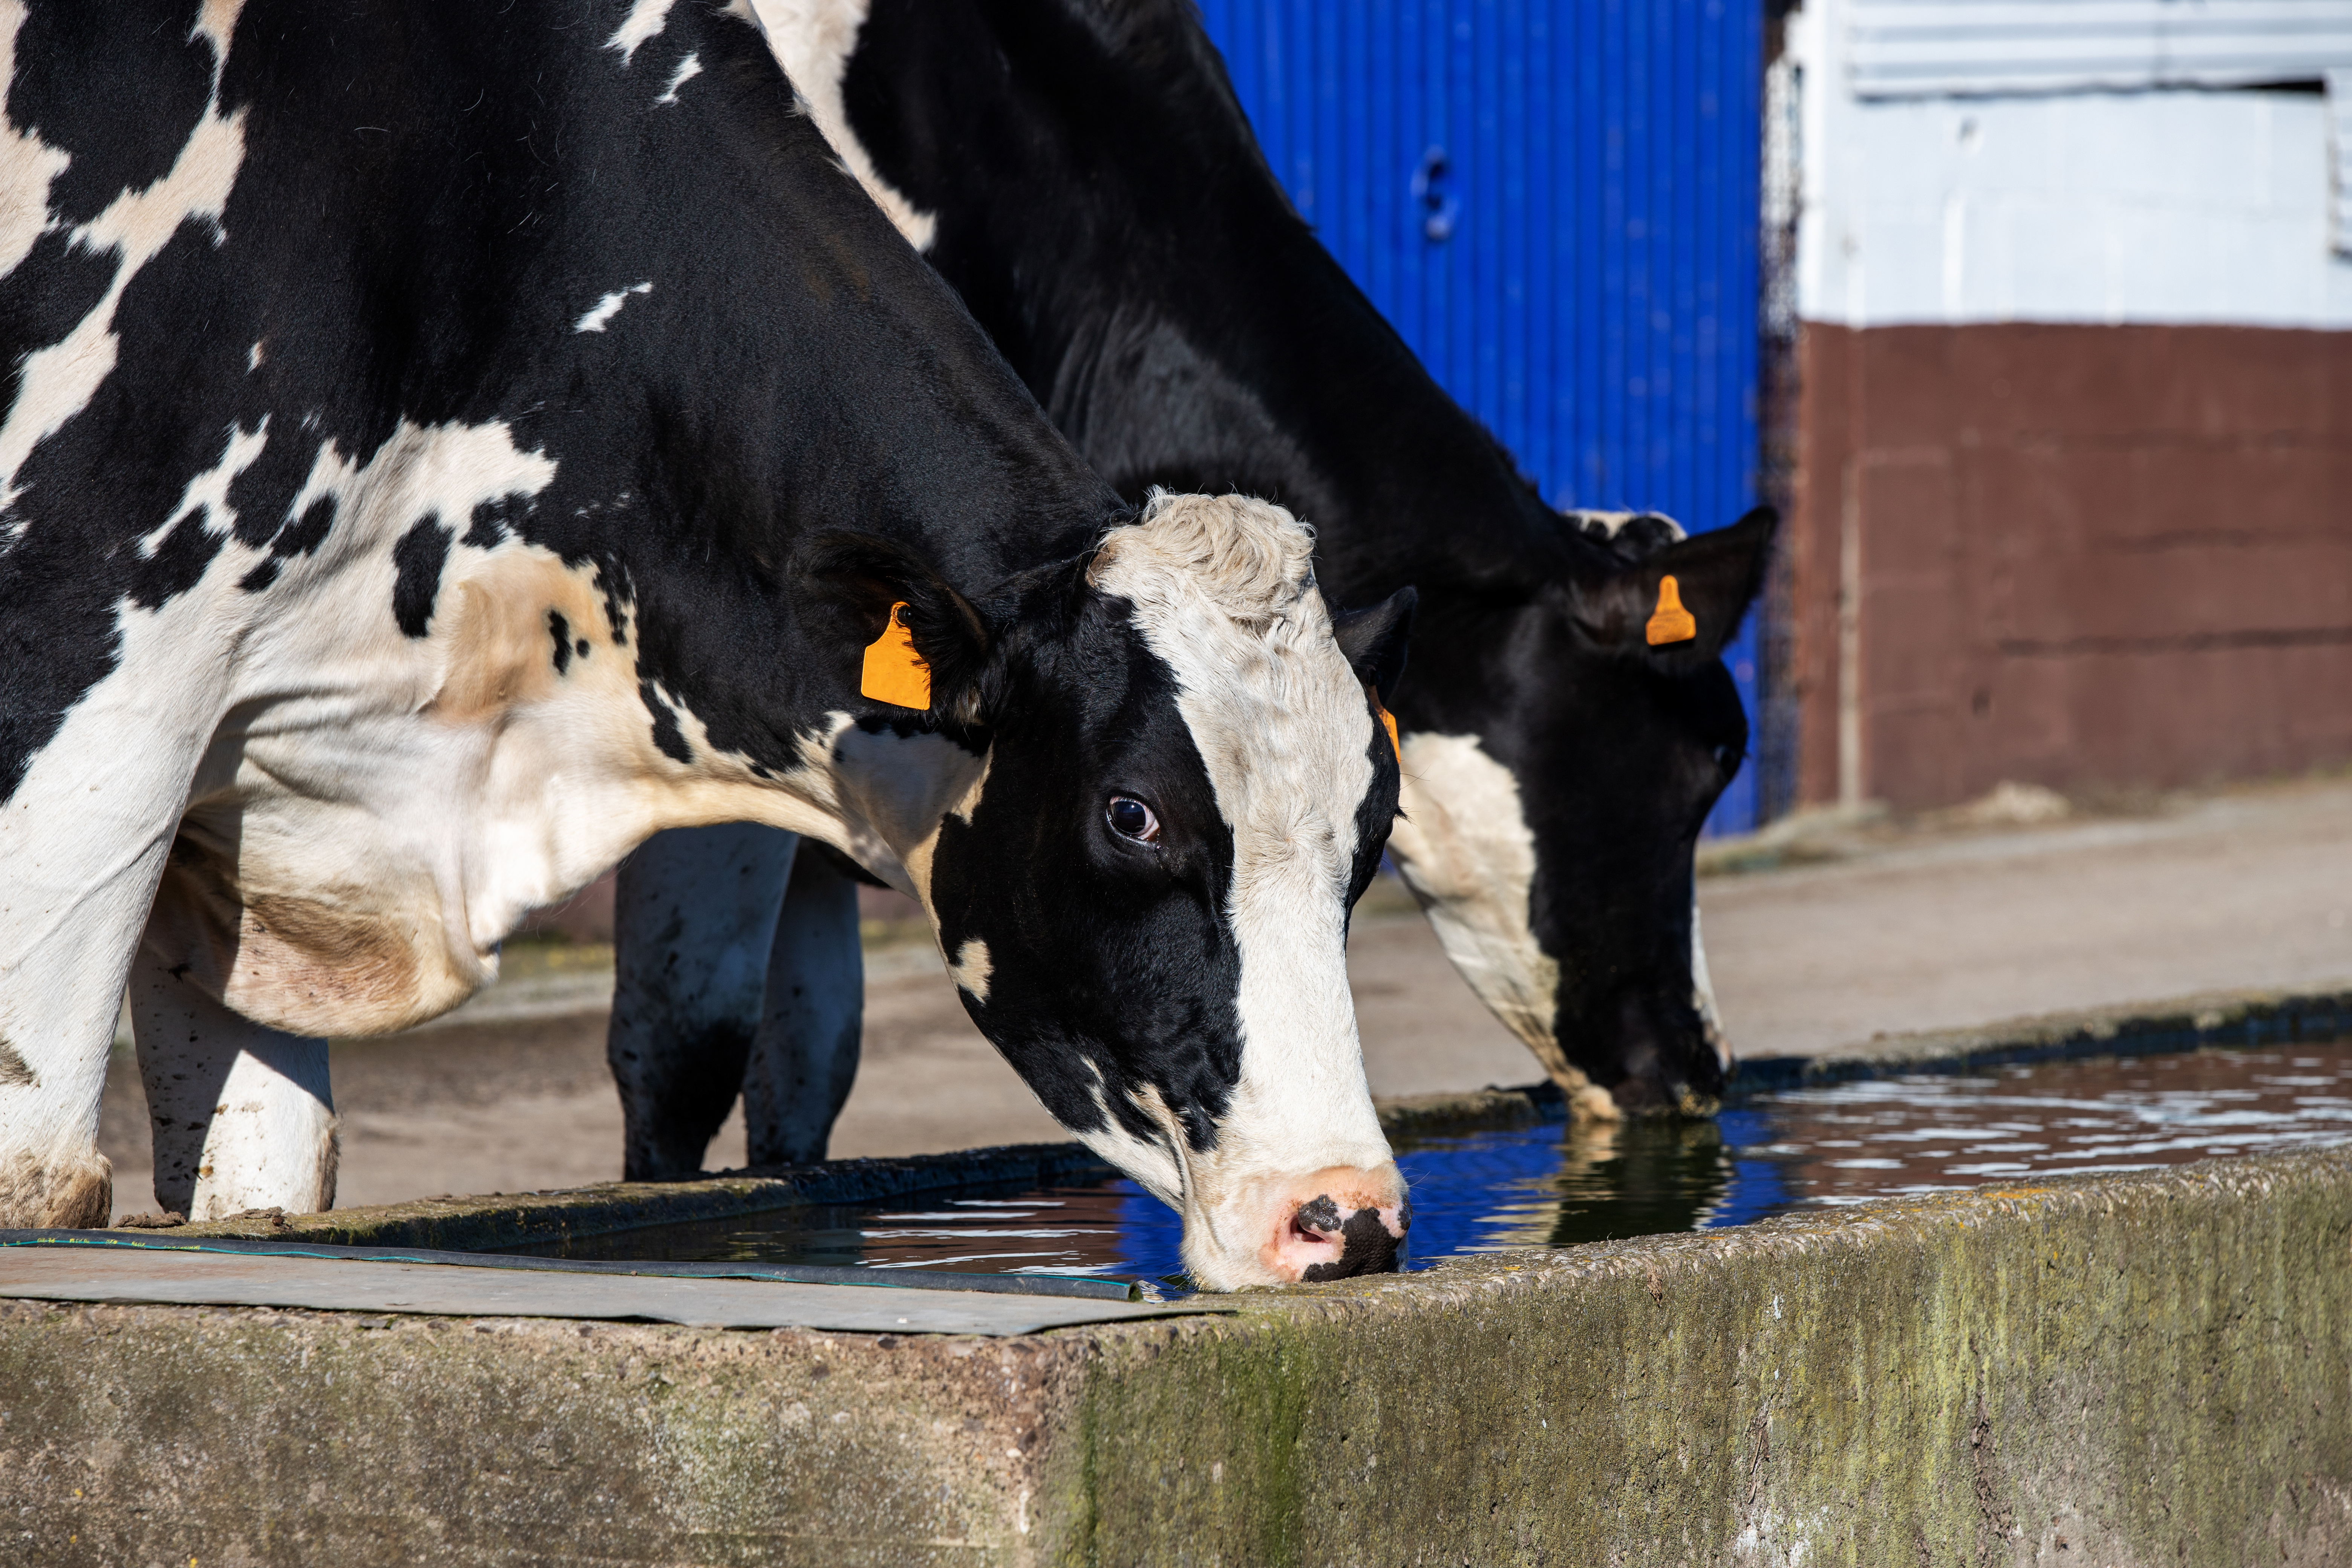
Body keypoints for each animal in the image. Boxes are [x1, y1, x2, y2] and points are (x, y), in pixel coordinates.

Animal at [0, 0, 1417, 1290]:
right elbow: (48, 1179)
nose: (1343, 1216)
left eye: (1371, 829)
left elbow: (272, 1183)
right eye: (1133, 816)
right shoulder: (97, 717)